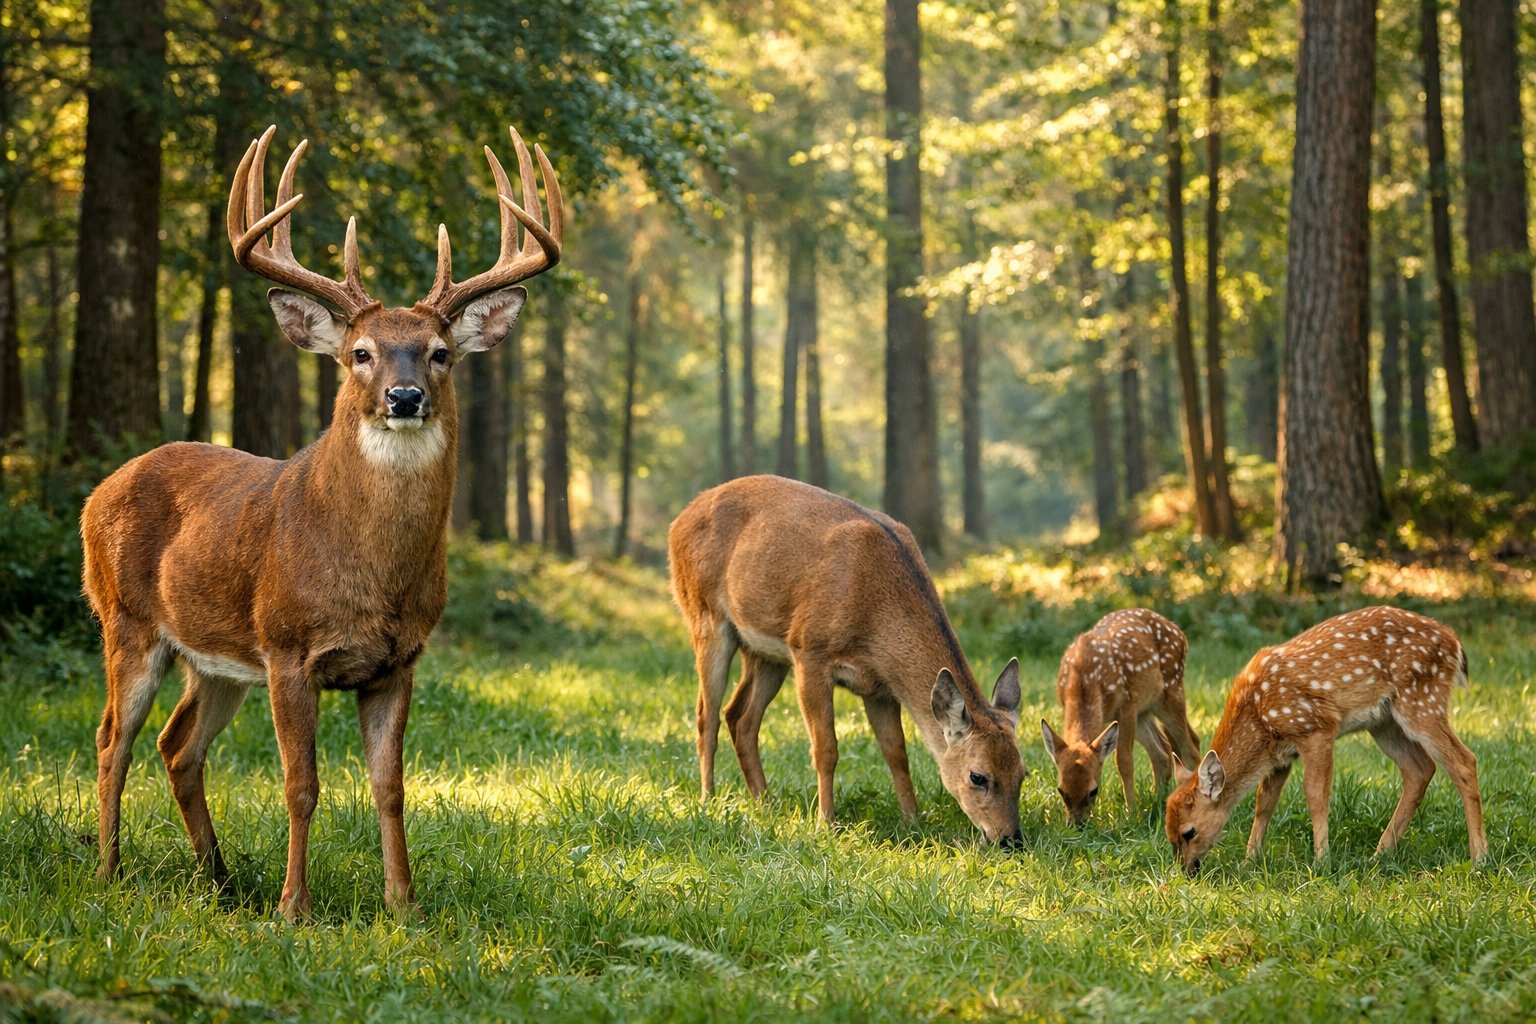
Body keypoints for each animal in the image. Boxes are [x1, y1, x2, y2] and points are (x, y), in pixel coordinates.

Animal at [82, 124, 562, 921]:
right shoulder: (287, 648)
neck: (369, 572)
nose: (404, 396)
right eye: (359, 353)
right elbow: (300, 786)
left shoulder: (400, 661)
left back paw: (218, 877)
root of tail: (99, 491)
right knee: (112, 737)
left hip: (215, 658)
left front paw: (404, 905)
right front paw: (294, 908)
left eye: (439, 353)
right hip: (126, 619)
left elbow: (390, 787)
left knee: (178, 746)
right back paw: (109, 871)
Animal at [668, 475, 1027, 847]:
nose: (1010, 839)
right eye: (977, 776)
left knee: (740, 716)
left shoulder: (879, 686)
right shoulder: (809, 651)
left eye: (1023, 774)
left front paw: (913, 820)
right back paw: (709, 799)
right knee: (706, 715)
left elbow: (896, 752)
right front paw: (826, 822)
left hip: (765, 652)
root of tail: (679, 519)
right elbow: (826, 748)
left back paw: (764, 802)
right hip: (705, 615)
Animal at [1041, 608, 1199, 826]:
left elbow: (1123, 760)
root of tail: (1179, 631)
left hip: (1170, 691)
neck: (1084, 677)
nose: (1077, 825)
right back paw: (1158, 800)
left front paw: (1129, 814)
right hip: (1144, 710)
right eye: (1061, 790)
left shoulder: (1126, 705)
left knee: (1190, 747)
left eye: (1093, 791)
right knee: (1162, 750)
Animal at [1166, 606, 1488, 875]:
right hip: (1384, 723)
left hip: (1421, 700)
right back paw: (1379, 855)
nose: (1187, 871)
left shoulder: (1316, 728)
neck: (1258, 716)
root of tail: (1453, 641)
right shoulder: (1280, 756)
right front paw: (1249, 860)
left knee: (1464, 761)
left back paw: (1479, 858)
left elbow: (1316, 796)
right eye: (1169, 835)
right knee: (1420, 769)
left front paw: (1322, 861)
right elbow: (1264, 803)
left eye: (1189, 832)